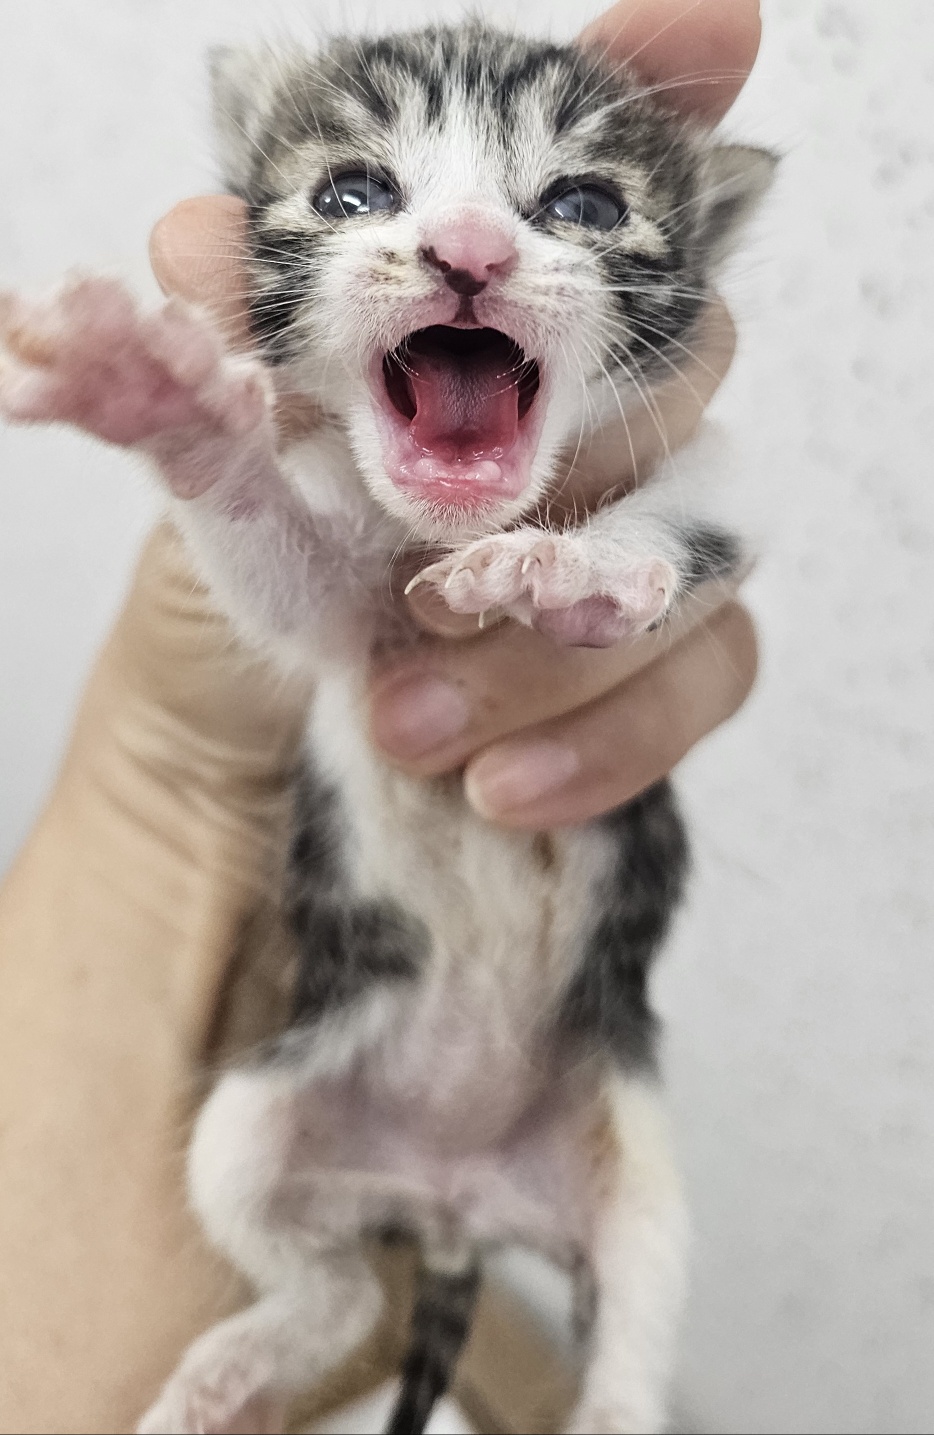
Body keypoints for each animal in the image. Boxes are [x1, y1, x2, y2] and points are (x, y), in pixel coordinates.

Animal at [0, 22, 774, 1435]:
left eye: (584, 205)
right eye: (353, 192)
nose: (467, 251)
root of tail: (453, 1201)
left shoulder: (721, 477)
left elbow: (693, 518)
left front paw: (584, 573)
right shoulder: (338, 629)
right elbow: (276, 557)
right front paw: (154, 391)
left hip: (631, 1162)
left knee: (630, 1329)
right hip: (259, 1107)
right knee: (338, 1285)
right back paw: (237, 1361)